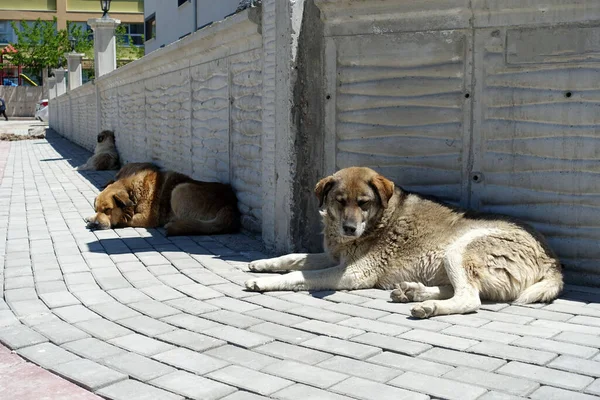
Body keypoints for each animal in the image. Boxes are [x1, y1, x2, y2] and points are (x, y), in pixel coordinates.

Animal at [86, 162, 239, 236]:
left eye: (108, 210)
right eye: (96, 209)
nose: (95, 224)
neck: (133, 191)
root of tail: (230, 205)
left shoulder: (147, 218)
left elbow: (123, 220)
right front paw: (91, 218)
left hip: (179, 189)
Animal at [244, 166, 564, 318]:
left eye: (363, 203)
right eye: (340, 201)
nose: (349, 229)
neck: (380, 219)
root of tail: (552, 259)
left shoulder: (352, 273)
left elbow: (298, 275)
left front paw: (264, 282)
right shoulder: (334, 257)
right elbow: (293, 257)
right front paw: (261, 264)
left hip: (459, 250)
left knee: (470, 299)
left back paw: (428, 306)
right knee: (462, 291)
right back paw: (413, 292)